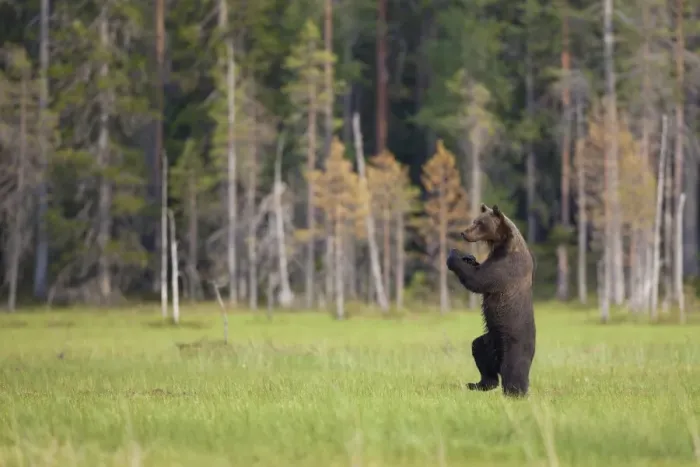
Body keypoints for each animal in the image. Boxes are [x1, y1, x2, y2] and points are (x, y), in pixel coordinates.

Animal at [446, 203, 536, 397]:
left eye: (480, 223)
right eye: (474, 221)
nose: (463, 232)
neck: (503, 243)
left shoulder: (506, 267)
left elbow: (479, 279)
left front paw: (454, 254)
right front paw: (469, 258)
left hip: (514, 341)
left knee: (513, 367)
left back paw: (514, 392)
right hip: (489, 340)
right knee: (480, 352)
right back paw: (480, 383)